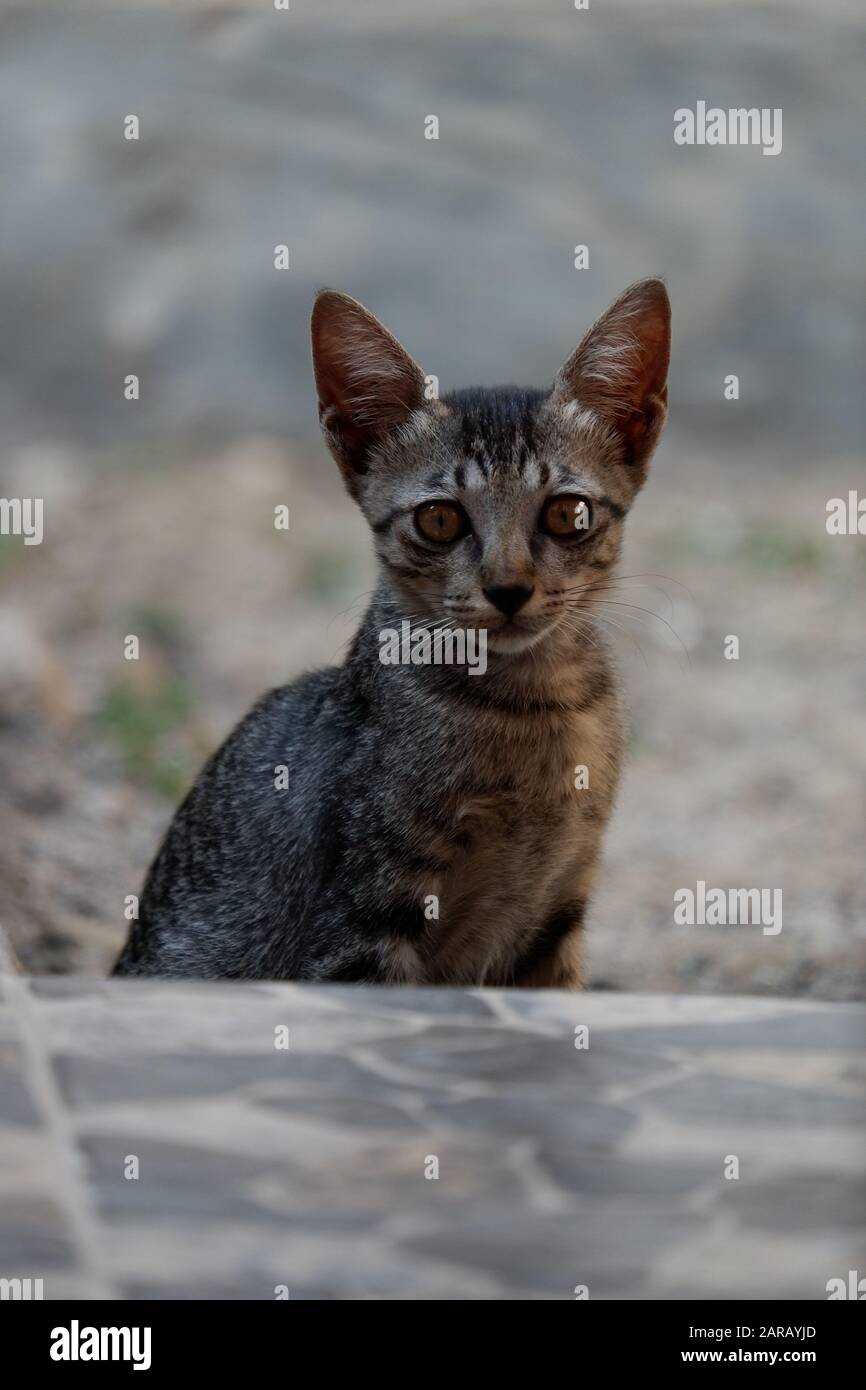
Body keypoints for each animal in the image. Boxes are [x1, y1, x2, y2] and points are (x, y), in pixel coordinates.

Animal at [113, 276, 670, 984]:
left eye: (568, 514)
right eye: (440, 520)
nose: (508, 588)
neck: (534, 710)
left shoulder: (559, 907)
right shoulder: (364, 920)